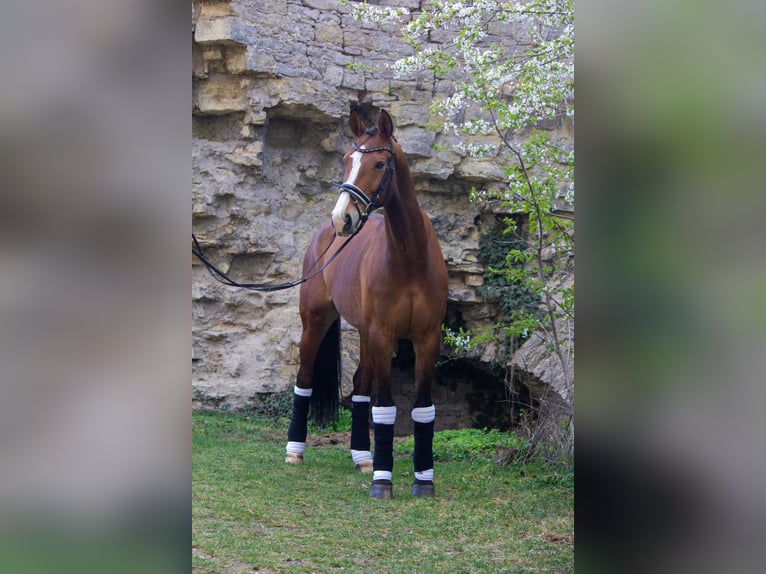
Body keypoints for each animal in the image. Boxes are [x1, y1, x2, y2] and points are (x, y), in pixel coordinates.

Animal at [284, 109, 449, 498]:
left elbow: (422, 408)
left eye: (378, 163)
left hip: (363, 332)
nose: (342, 218)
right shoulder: (383, 335)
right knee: (305, 377)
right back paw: (294, 452)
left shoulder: (427, 339)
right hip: (317, 321)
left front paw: (423, 480)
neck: (409, 258)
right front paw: (382, 481)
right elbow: (386, 408)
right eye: (347, 160)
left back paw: (362, 457)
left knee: (359, 387)